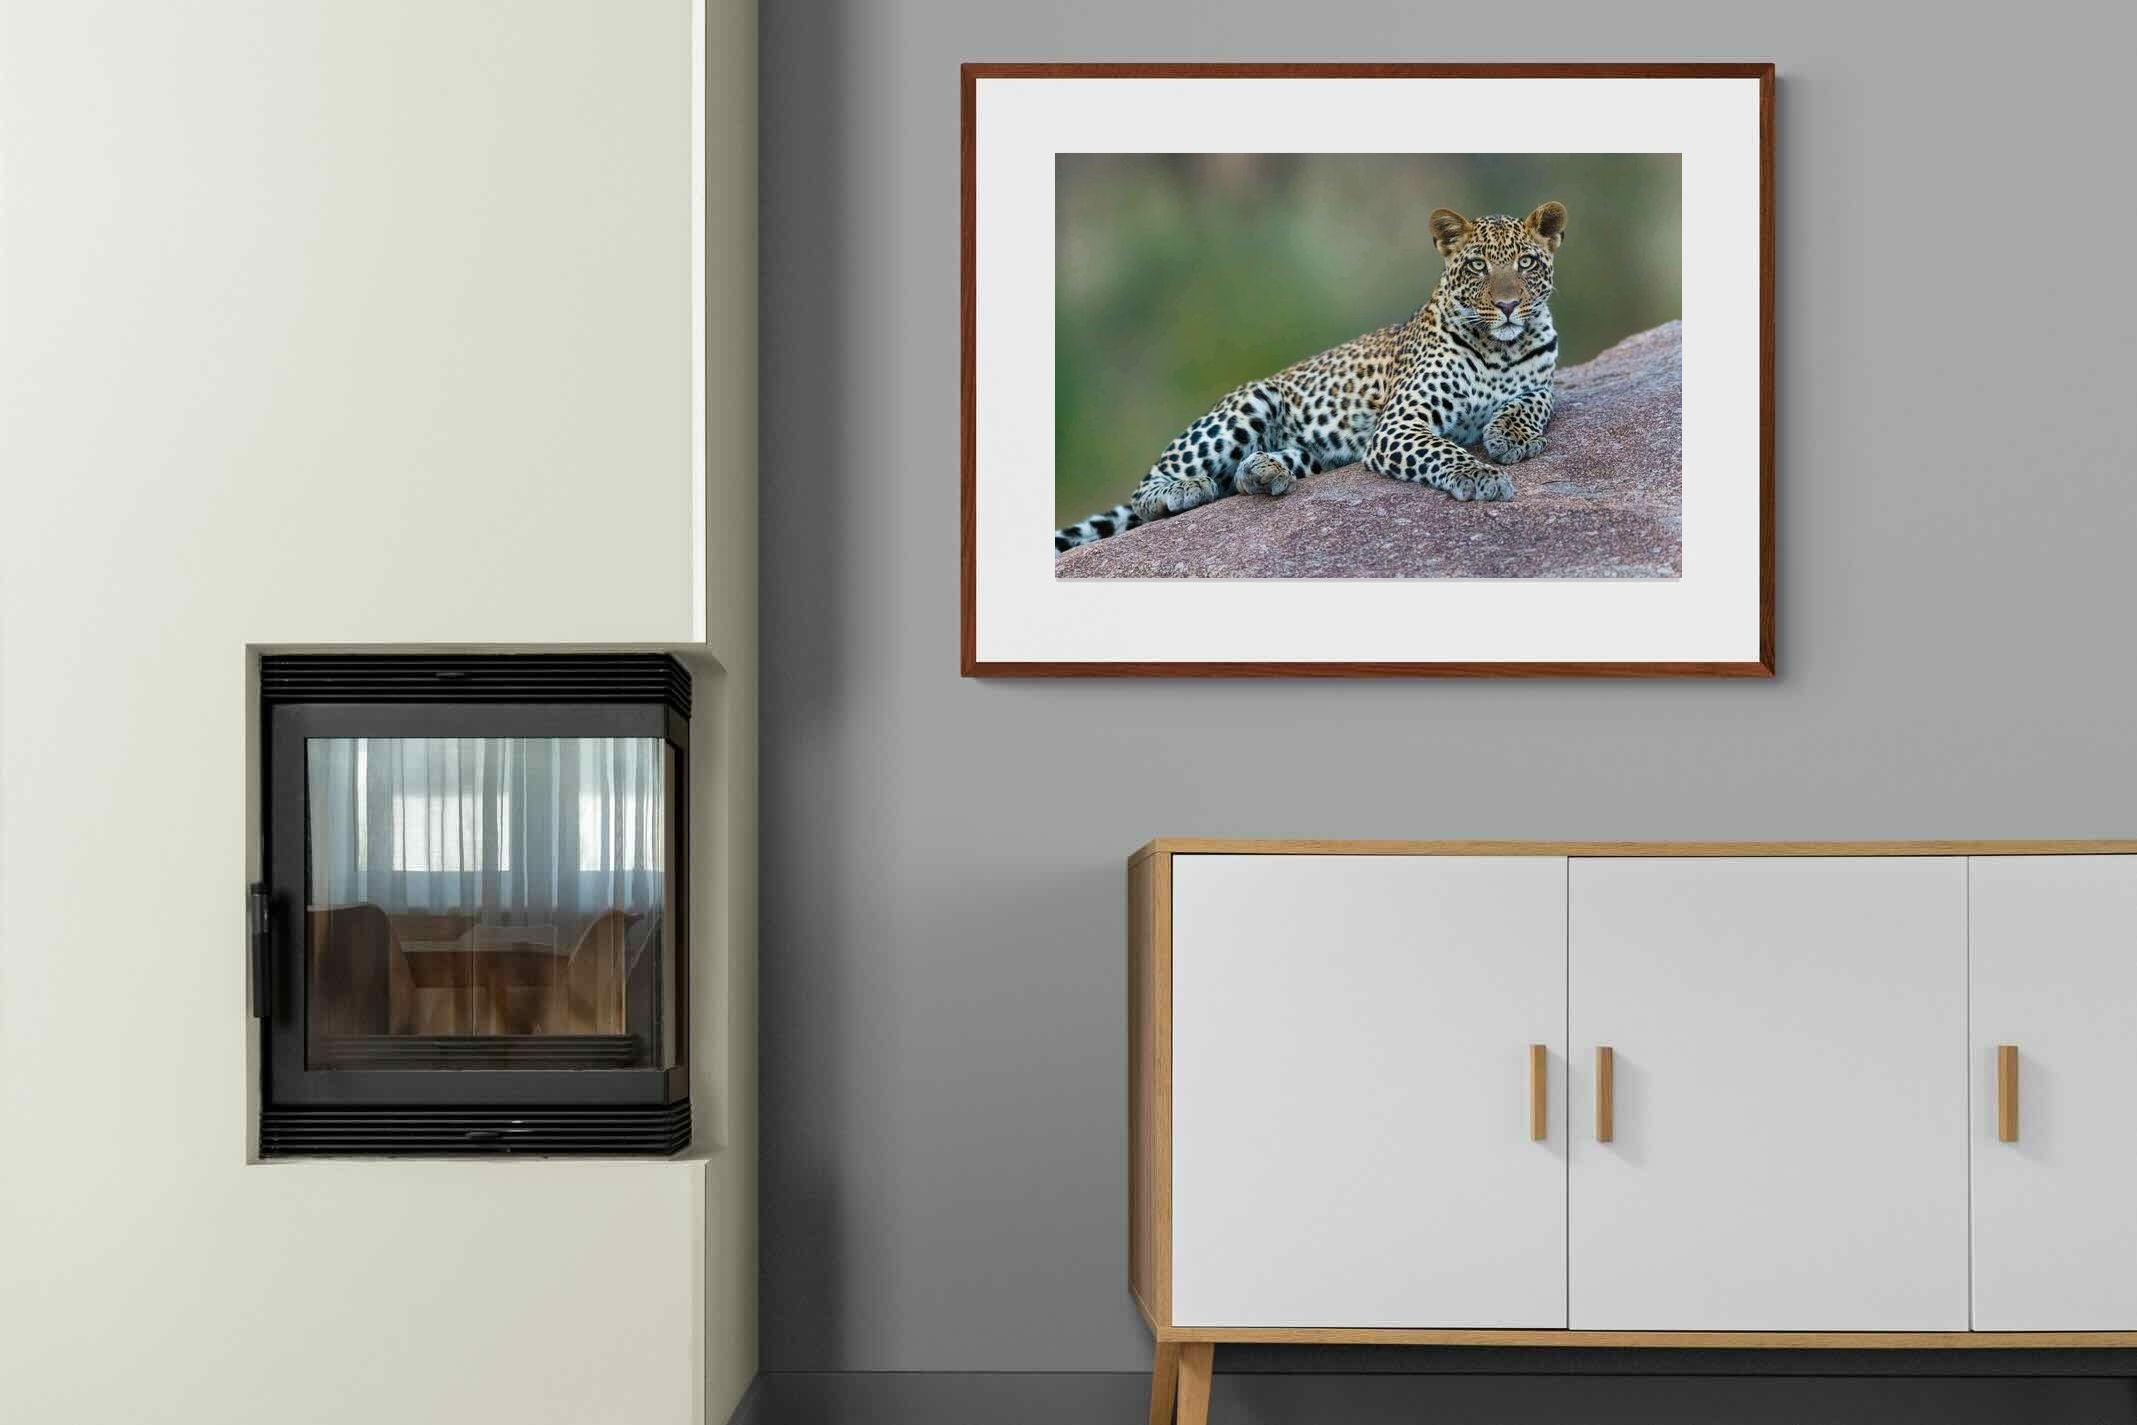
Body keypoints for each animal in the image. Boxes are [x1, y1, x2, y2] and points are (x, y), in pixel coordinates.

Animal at [1055, 201, 1568, 554]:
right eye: (1478, 265)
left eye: (1525, 263)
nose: (1507, 305)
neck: (1501, 347)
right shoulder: (1399, 423)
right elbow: (1443, 450)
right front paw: (1482, 474)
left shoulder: (1542, 383)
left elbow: (1532, 402)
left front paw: (1510, 436)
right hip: (1249, 403)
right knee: (1147, 489)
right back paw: (1185, 489)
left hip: (1313, 453)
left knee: (1245, 474)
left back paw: (1263, 472)